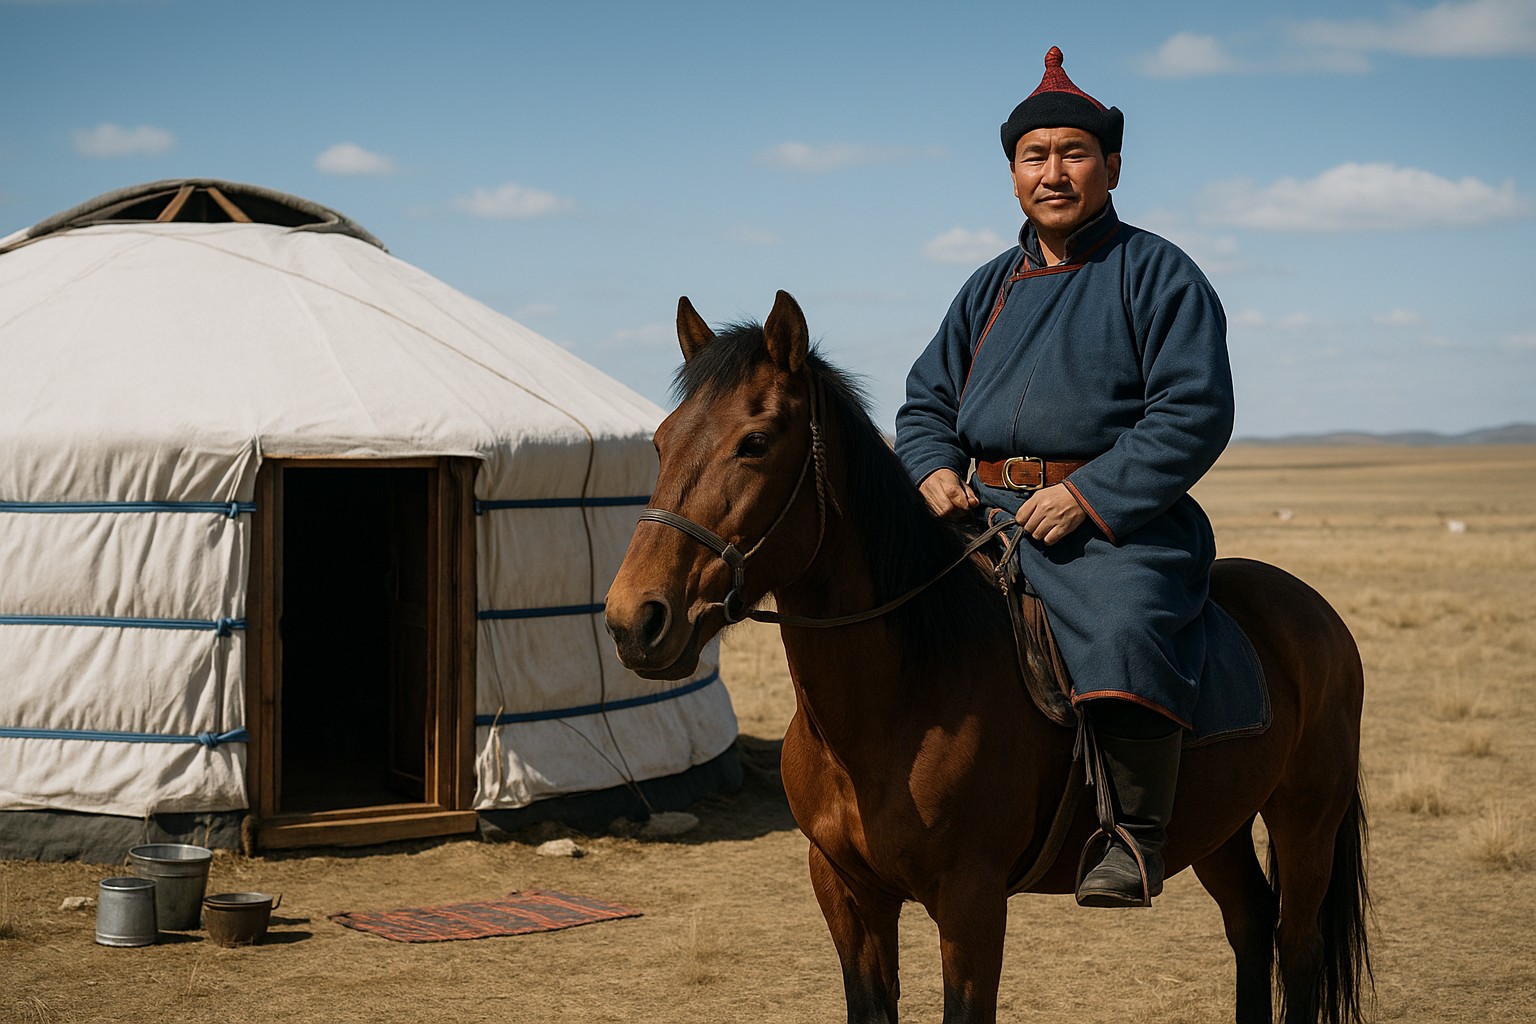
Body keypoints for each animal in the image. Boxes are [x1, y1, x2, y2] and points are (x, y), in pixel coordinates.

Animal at [605, 291, 1370, 1024]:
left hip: (1306, 819)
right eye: (661, 442)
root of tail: (1315, 612)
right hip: (1220, 828)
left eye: (755, 442)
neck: (895, 707)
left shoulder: (971, 901)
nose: (634, 620)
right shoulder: (847, 894)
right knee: (1251, 924)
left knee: (1297, 945)